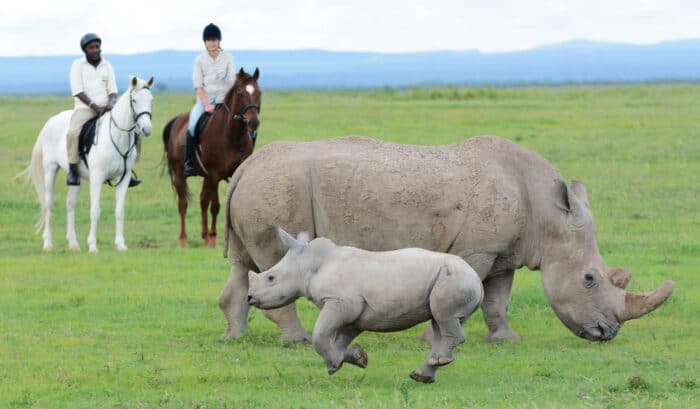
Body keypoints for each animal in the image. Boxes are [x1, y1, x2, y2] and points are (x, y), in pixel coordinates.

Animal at [28, 75, 153, 250]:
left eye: (151, 99)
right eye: (134, 100)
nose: (146, 129)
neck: (117, 137)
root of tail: (51, 121)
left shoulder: (124, 178)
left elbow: (119, 211)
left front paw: (121, 244)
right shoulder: (97, 177)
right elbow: (95, 211)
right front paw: (93, 245)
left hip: (77, 178)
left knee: (70, 204)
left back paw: (73, 244)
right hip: (50, 170)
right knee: (48, 204)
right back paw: (48, 243)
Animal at [163, 67, 262, 245]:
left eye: (259, 92)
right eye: (240, 93)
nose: (253, 122)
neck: (232, 136)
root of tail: (177, 120)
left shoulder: (221, 175)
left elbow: (221, 204)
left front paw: (215, 237)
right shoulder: (214, 175)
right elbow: (213, 205)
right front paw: (211, 237)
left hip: (206, 177)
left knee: (204, 201)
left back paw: (205, 235)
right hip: (181, 175)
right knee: (183, 204)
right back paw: (184, 239)